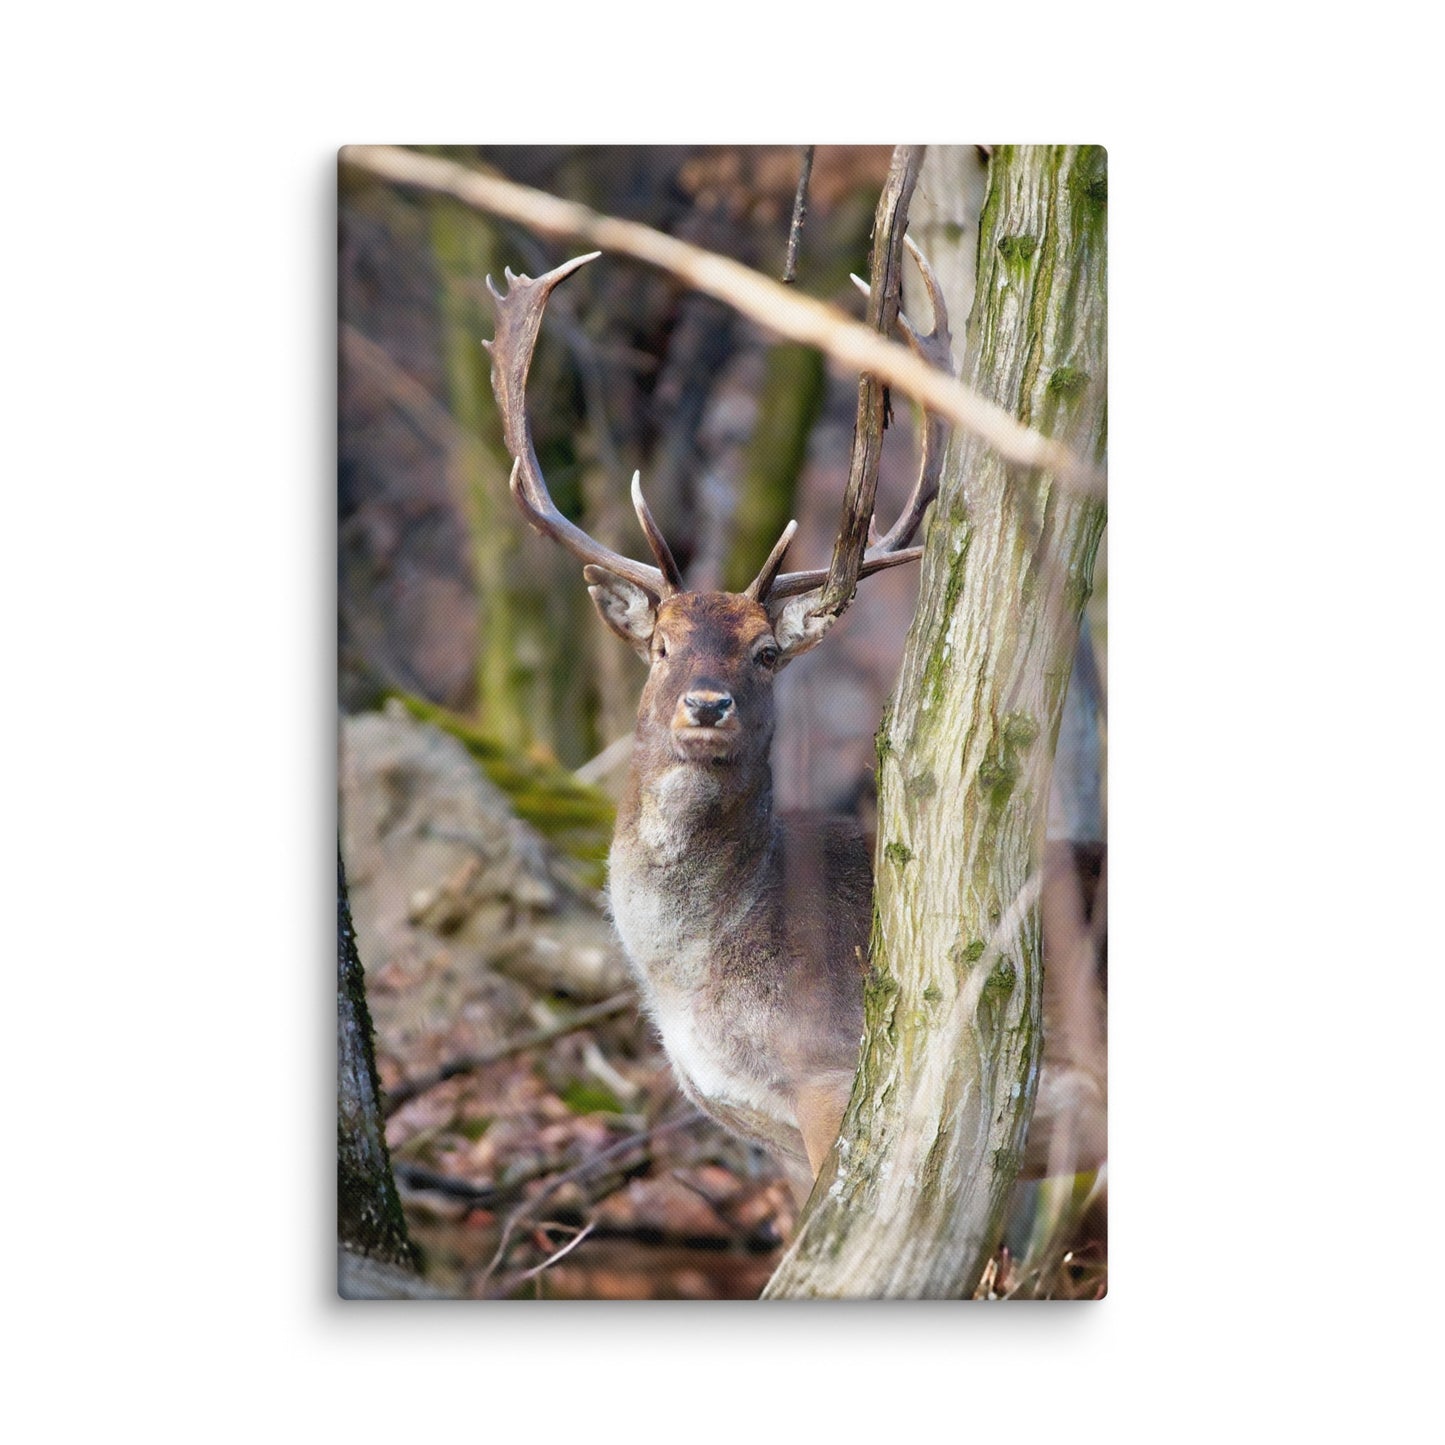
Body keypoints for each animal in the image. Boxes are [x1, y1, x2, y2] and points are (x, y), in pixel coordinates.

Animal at [485, 248, 1104, 1202]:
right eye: (660, 645)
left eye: (768, 650)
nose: (708, 703)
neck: (697, 985)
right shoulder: (764, 1130)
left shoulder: (829, 1078)